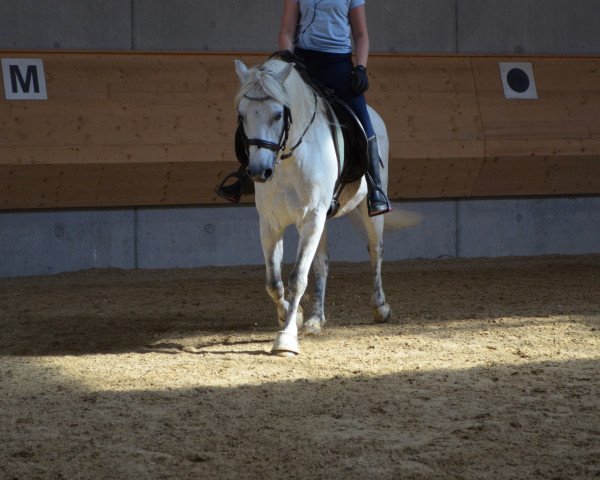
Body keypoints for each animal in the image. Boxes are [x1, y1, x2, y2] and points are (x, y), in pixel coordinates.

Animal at [233, 57, 418, 356]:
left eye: (277, 114)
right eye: (242, 115)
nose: (259, 172)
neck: (289, 159)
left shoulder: (311, 218)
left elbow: (297, 278)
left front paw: (286, 339)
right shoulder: (271, 223)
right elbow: (274, 282)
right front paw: (291, 316)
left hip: (367, 209)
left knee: (375, 250)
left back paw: (380, 307)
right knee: (321, 264)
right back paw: (315, 319)